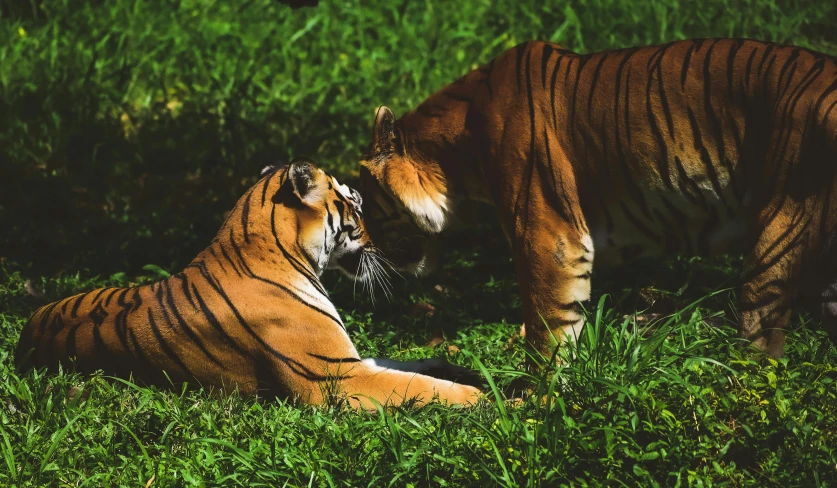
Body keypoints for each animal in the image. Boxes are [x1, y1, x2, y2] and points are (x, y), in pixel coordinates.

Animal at [13, 157, 480, 408]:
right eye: (353, 202)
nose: (379, 238)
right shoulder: (335, 376)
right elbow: (416, 385)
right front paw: (478, 398)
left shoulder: (348, 360)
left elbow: (408, 365)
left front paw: (468, 371)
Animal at [356, 39, 836, 366]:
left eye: (364, 203)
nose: (364, 249)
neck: (456, 158)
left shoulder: (548, 236)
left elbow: (547, 329)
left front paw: (539, 404)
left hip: (777, 236)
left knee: (762, 346)